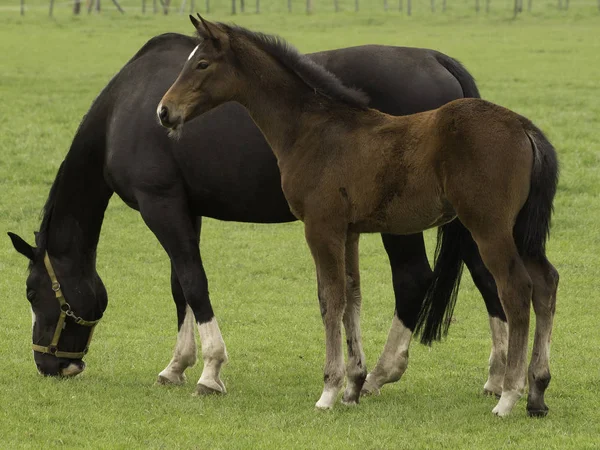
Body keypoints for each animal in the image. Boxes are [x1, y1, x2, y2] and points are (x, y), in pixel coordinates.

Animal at [9, 28, 506, 398]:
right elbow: (179, 286)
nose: (48, 364)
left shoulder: (160, 204)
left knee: (413, 278)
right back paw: (499, 376)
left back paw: (380, 374)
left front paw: (210, 370)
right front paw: (177, 365)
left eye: (33, 292)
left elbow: (193, 281)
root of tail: (437, 60)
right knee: (488, 275)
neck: (125, 110)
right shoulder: (185, 209)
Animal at [157, 17, 560, 418]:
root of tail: (525, 127)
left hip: (489, 228)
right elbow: (353, 296)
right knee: (546, 282)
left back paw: (508, 395)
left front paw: (329, 390)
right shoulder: (348, 232)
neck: (314, 130)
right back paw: (537, 392)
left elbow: (330, 299)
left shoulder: (321, 228)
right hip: (520, 232)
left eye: (202, 64)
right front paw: (352, 385)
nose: (164, 111)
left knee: (515, 289)